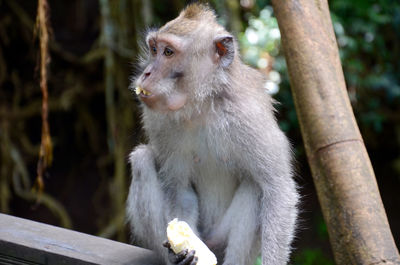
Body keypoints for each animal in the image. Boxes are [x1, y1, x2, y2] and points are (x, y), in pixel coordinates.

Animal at [126, 2, 298, 264]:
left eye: (168, 52)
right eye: (154, 49)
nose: (146, 73)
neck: (202, 105)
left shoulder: (250, 117)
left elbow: (277, 188)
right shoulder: (158, 121)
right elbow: (178, 188)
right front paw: (183, 250)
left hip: (221, 238)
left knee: (256, 185)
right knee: (142, 159)